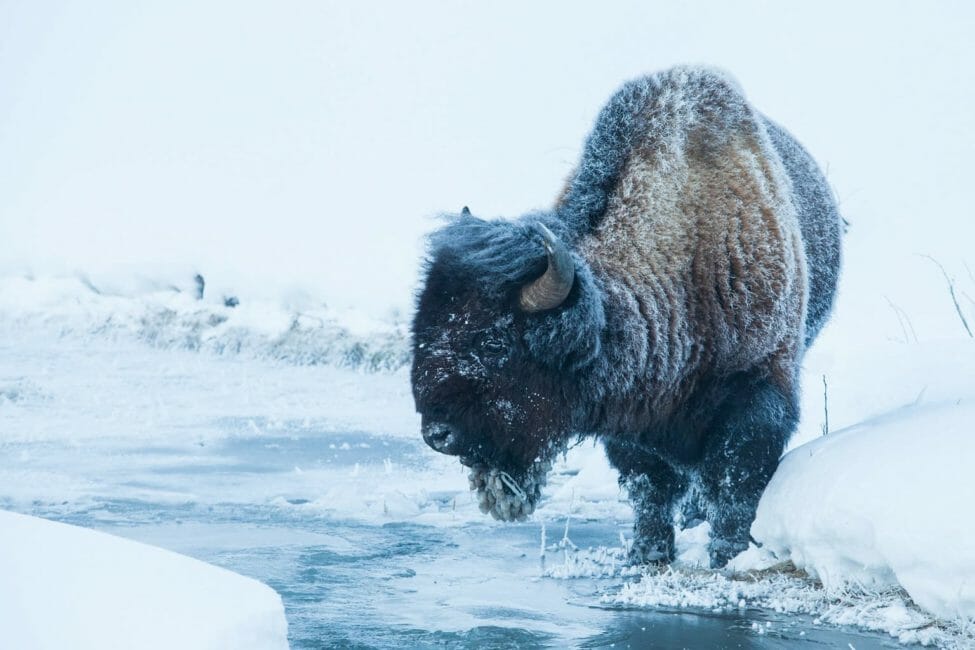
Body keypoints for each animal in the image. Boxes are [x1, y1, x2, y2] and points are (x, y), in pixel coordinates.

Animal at [408, 63, 844, 564]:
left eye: (495, 341)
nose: (437, 433)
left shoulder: (756, 389)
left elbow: (733, 483)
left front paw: (728, 554)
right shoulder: (631, 417)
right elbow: (649, 486)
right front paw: (648, 553)